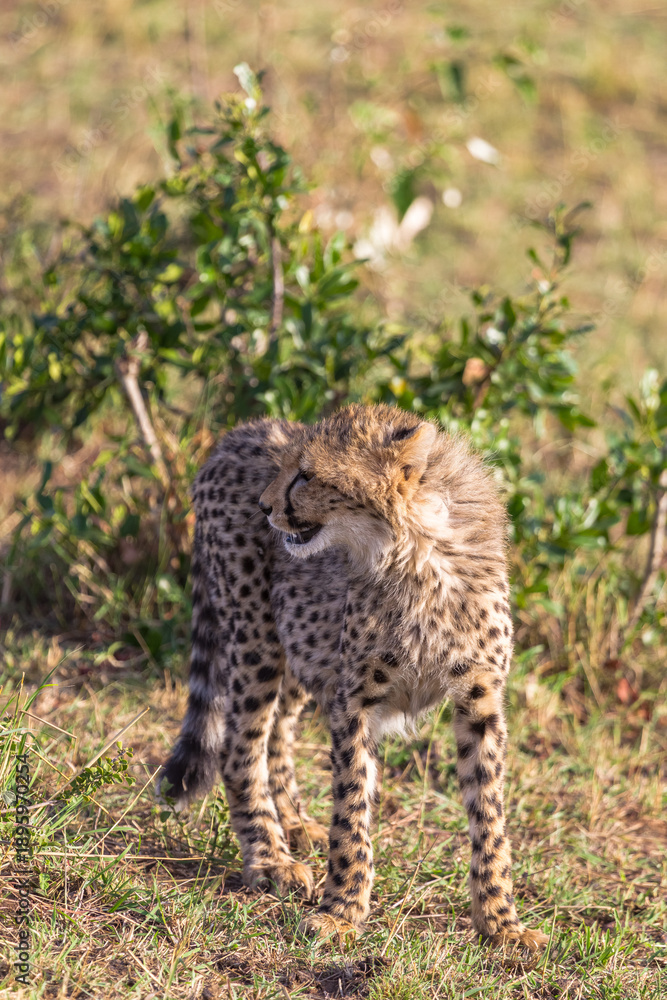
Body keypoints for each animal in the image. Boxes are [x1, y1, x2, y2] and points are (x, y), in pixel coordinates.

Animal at [160, 403, 549, 950]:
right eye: (289, 468)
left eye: (306, 475)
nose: (264, 506)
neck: (416, 553)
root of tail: (240, 431)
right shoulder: (355, 700)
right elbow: (352, 809)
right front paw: (342, 911)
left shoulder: (480, 699)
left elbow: (488, 814)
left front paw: (501, 921)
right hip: (255, 637)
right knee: (239, 747)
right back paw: (271, 858)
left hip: (300, 645)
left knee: (278, 729)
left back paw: (296, 824)